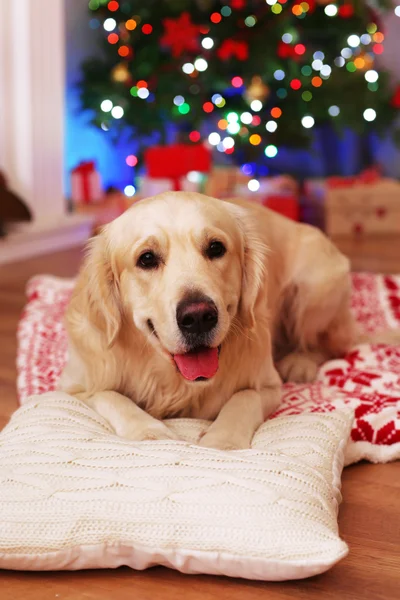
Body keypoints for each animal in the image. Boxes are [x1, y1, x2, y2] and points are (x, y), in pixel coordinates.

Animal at [57, 192, 364, 450]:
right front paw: (149, 431)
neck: (173, 380)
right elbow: (111, 396)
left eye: (216, 248)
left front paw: (222, 440)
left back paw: (300, 362)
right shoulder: (74, 385)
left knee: (330, 344)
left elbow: (244, 398)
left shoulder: (268, 385)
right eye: (146, 258)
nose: (198, 317)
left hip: (314, 287)